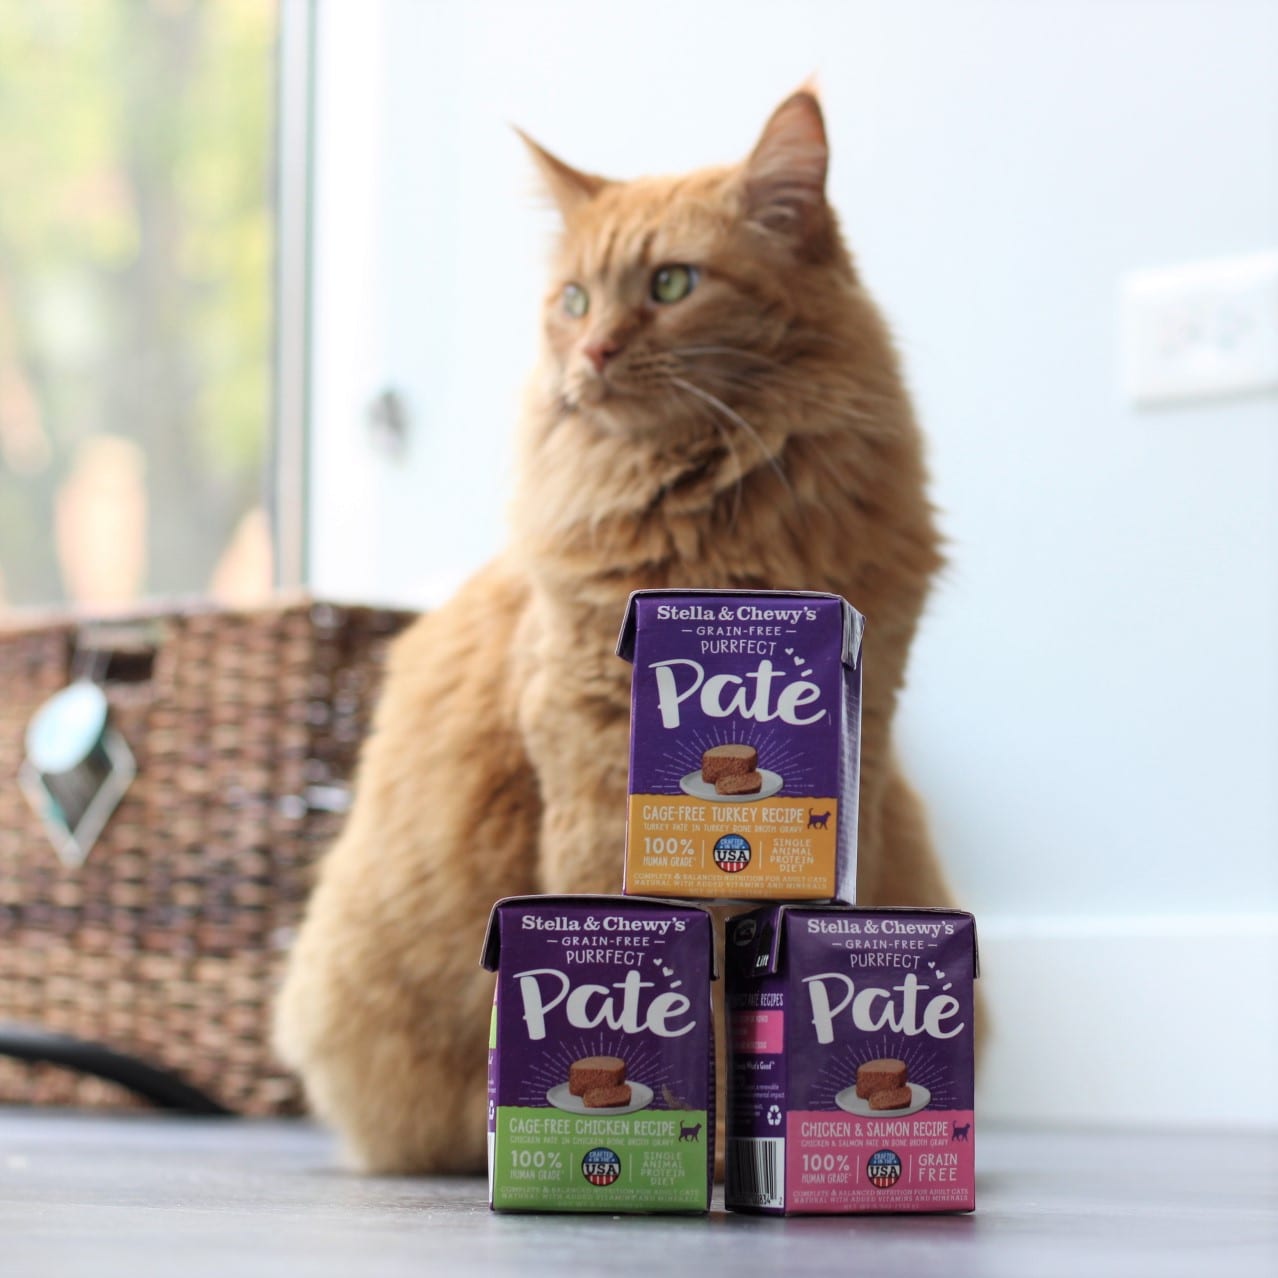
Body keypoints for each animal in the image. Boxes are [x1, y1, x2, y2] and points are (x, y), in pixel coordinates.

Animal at [277, 87, 961, 1170]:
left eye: (673, 283)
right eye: (573, 302)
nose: (592, 354)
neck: (715, 530)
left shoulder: (871, 726)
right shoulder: (590, 760)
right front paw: (708, 1139)